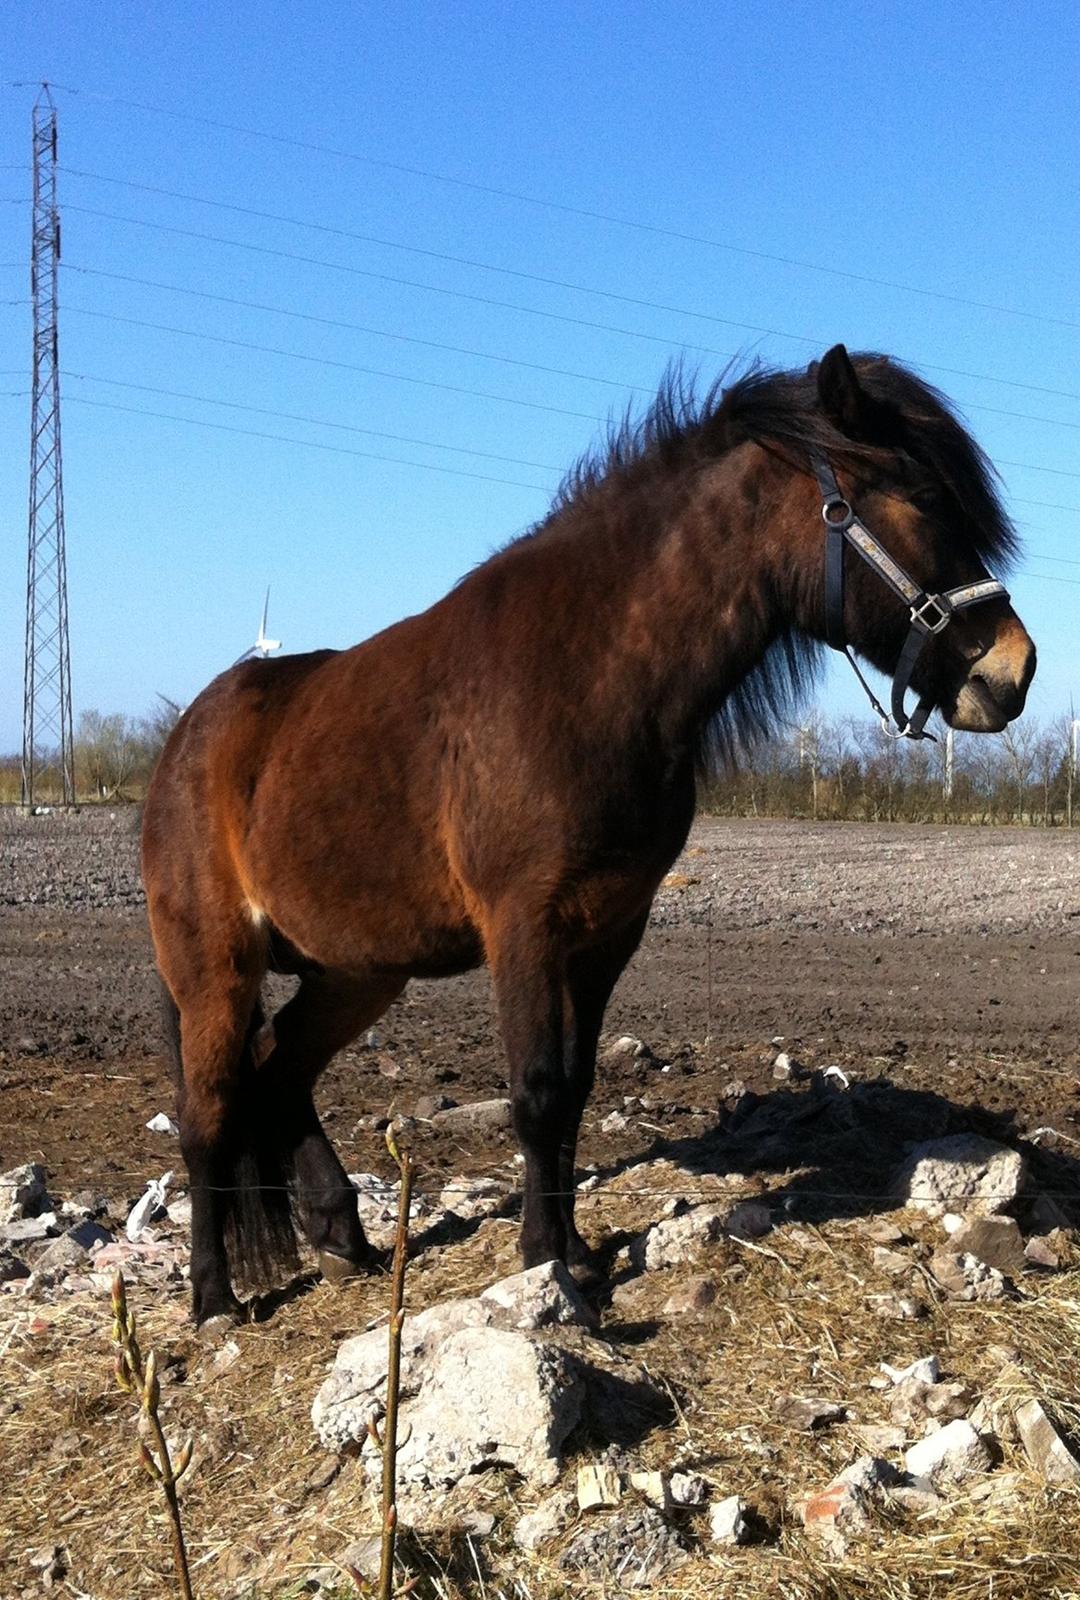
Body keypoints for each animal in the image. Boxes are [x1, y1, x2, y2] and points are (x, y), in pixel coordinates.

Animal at [144, 344, 1036, 1331]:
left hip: (357, 970)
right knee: (209, 1115)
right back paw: (214, 1297)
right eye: (915, 497)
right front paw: (546, 1266)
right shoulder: (524, 925)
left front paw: (572, 1250)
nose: (1014, 671)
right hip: (213, 965)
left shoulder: (610, 930)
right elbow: (536, 1092)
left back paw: (344, 1236)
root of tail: (185, 738)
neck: (585, 676)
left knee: (281, 1072)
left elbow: (573, 1091)